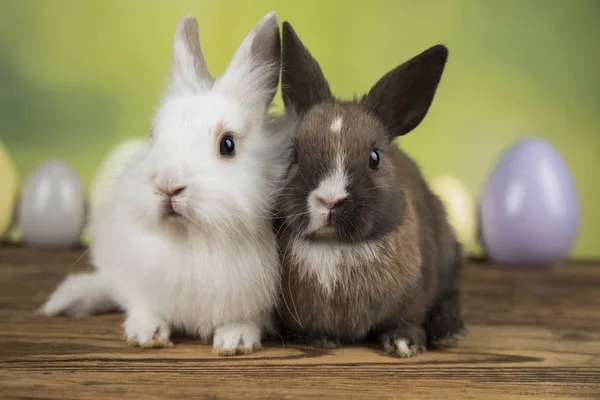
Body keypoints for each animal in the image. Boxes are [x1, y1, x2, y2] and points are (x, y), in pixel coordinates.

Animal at [41, 11, 292, 356]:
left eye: (228, 145)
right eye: (154, 135)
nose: (168, 185)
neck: (191, 239)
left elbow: (245, 318)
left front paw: (235, 341)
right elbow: (144, 306)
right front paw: (146, 334)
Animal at [274, 21, 466, 358]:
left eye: (374, 158)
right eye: (294, 153)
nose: (329, 200)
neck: (334, 248)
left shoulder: (418, 290)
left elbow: (409, 317)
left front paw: (404, 344)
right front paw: (320, 339)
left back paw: (450, 334)